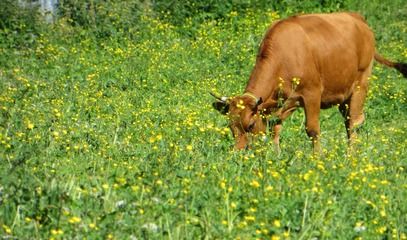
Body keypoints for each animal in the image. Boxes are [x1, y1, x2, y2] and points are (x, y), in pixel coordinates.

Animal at [214, 11, 407, 152]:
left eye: (251, 124)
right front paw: (275, 155)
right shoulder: (287, 101)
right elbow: (275, 127)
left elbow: (312, 130)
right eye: (230, 125)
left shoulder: (312, 94)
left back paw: (351, 155)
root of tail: (356, 17)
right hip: (343, 94)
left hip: (361, 83)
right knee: (349, 121)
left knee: (354, 121)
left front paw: (317, 158)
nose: (239, 152)